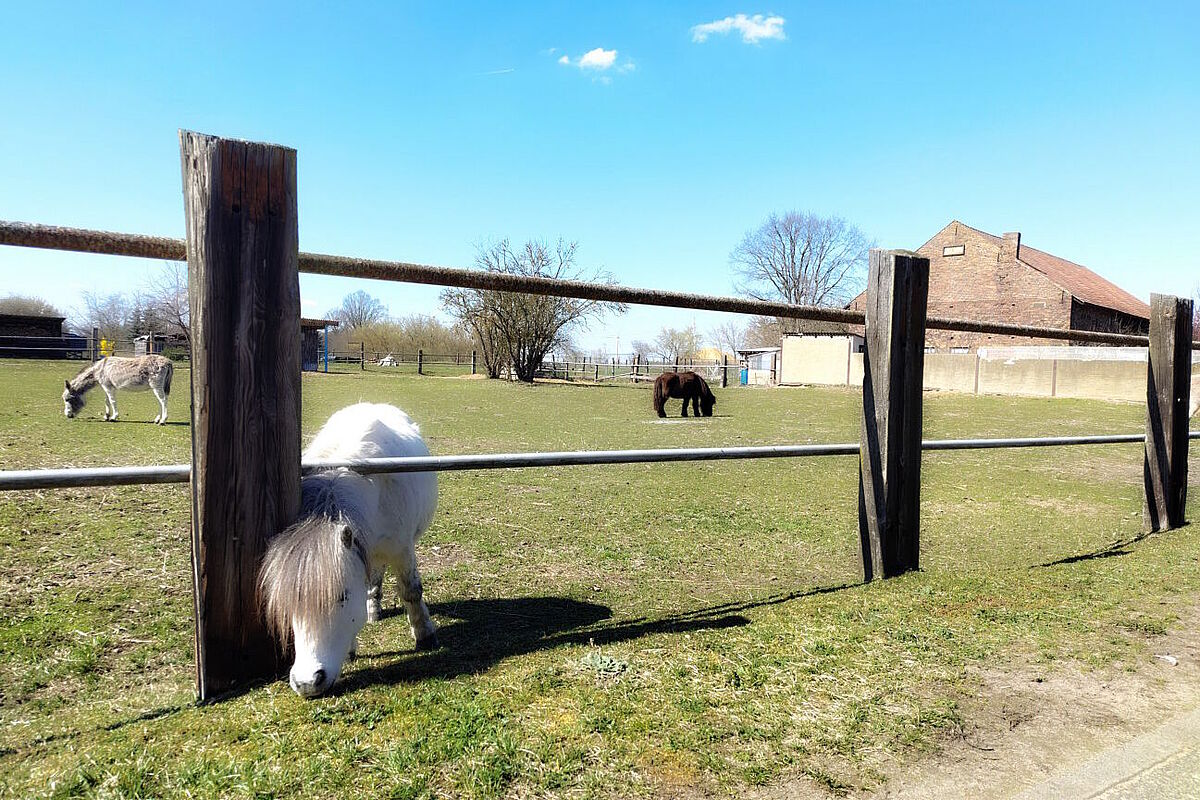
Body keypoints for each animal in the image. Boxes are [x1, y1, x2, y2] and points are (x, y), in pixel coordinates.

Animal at [258, 402, 439, 698]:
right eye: (290, 603)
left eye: (341, 597)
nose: (308, 683)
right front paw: (352, 647)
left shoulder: (401, 549)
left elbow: (411, 591)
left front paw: (425, 636)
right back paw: (373, 609)